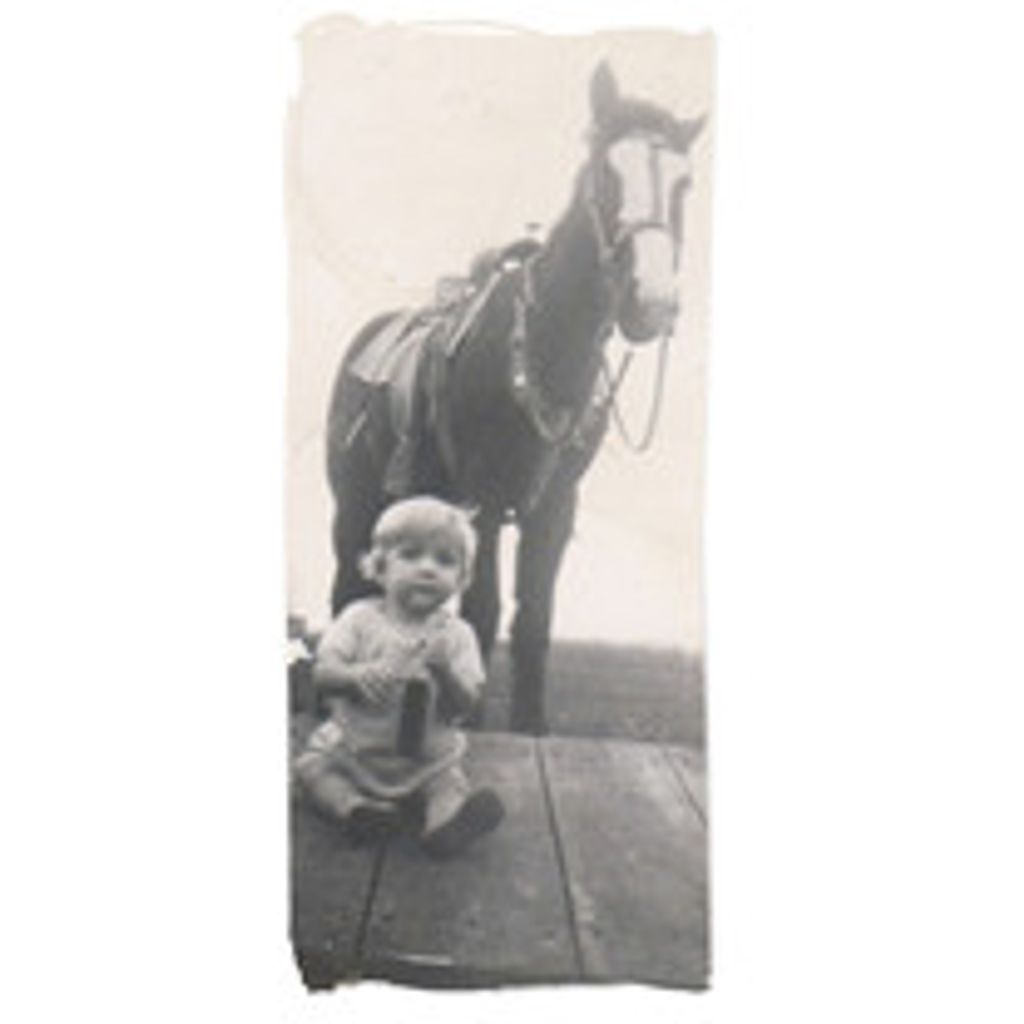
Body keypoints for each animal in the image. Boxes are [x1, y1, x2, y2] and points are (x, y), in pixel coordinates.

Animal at [325, 62, 705, 734]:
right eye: (605, 174)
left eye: (683, 186)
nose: (652, 303)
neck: (543, 347)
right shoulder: (485, 494)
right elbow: (483, 607)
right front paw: (469, 723)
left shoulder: (554, 505)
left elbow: (533, 621)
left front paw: (530, 725)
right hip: (351, 503)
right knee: (345, 589)